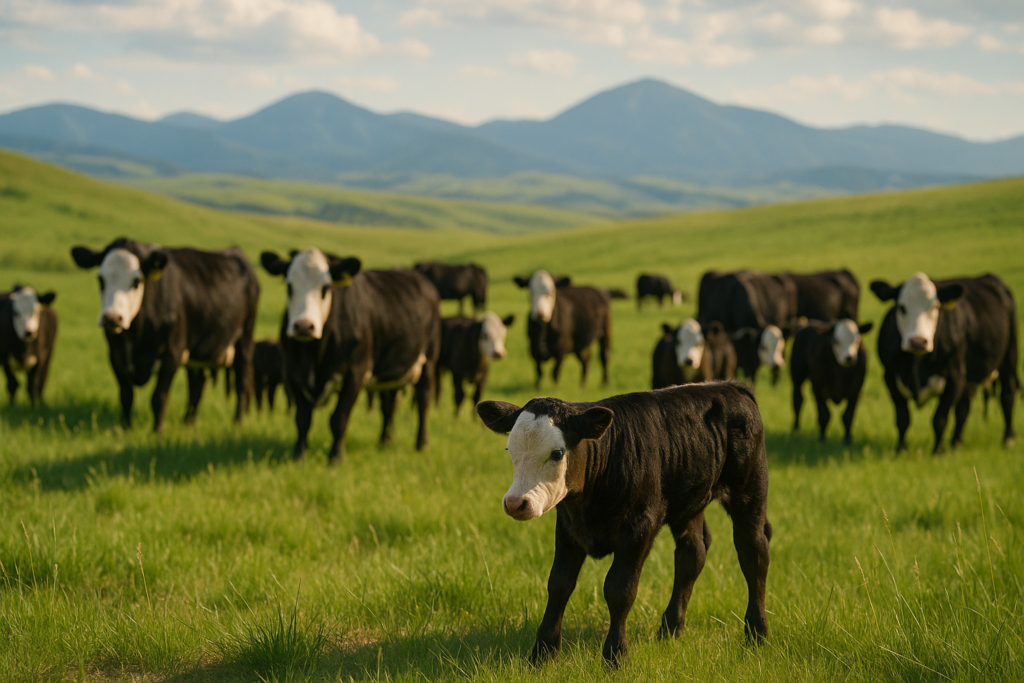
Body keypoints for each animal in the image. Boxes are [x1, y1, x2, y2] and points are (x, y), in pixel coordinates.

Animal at [71, 238, 259, 431]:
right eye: (101, 279)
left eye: (136, 281)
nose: (112, 318)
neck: (137, 337)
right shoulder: (115, 356)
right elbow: (126, 395)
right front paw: (125, 428)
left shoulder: (172, 355)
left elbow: (158, 397)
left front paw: (157, 431)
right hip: (197, 352)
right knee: (197, 385)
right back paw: (188, 423)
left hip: (244, 340)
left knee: (242, 382)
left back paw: (237, 422)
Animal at [261, 248, 440, 462]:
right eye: (289, 286)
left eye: (326, 287)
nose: (303, 326)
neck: (313, 356)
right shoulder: (292, 372)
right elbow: (302, 419)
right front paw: (299, 455)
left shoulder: (356, 373)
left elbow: (339, 418)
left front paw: (336, 457)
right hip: (389, 371)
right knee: (388, 406)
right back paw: (384, 442)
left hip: (428, 361)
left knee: (423, 401)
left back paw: (421, 444)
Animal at [476, 382, 771, 665]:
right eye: (509, 449)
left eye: (557, 453)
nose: (516, 503)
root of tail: (731, 387)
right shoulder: (569, 526)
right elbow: (559, 584)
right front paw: (543, 653)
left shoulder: (640, 528)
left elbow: (620, 589)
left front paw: (615, 655)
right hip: (689, 505)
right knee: (692, 555)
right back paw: (670, 630)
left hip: (750, 492)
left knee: (754, 553)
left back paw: (757, 634)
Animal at [871, 272, 1018, 453]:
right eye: (901, 307)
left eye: (935, 307)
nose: (918, 341)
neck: (918, 361)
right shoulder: (890, 377)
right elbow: (902, 418)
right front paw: (901, 449)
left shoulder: (954, 377)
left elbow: (939, 419)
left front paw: (938, 451)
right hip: (970, 377)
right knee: (963, 409)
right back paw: (956, 443)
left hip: (1009, 358)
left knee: (1008, 395)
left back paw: (1008, 439)